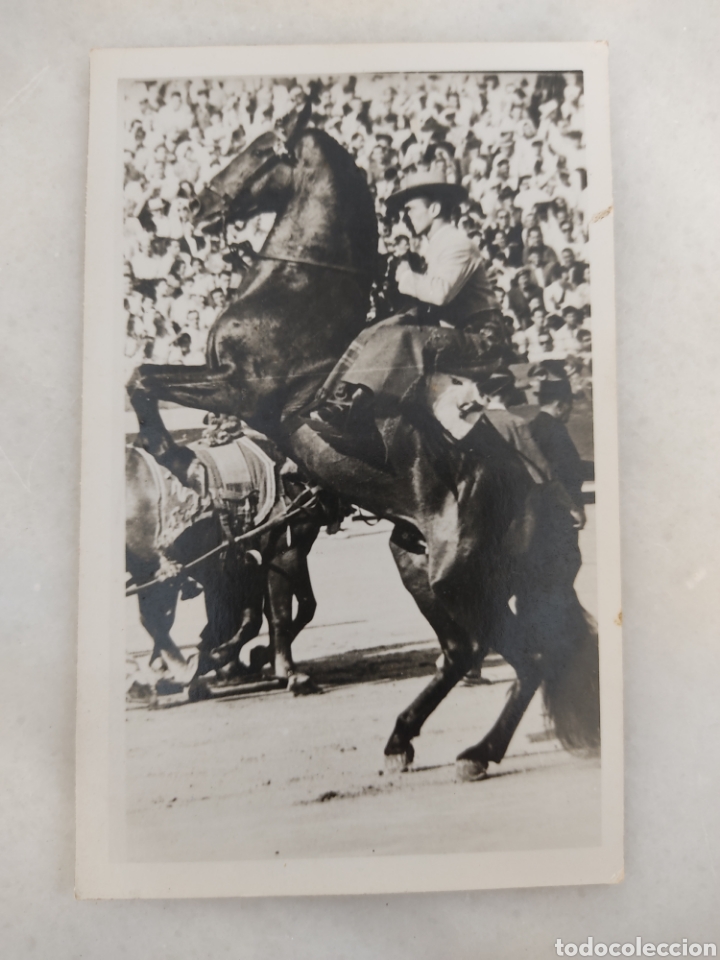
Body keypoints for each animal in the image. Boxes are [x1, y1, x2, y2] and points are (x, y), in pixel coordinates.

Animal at [125, 426, 328, 695]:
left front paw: (246, 658)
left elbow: (290, 609)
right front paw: (287, 672)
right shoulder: (283, 552)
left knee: (156, 621)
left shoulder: (251, 561)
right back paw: (178, 673)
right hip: (155, 570)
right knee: (155, 620)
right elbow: (278, 614)